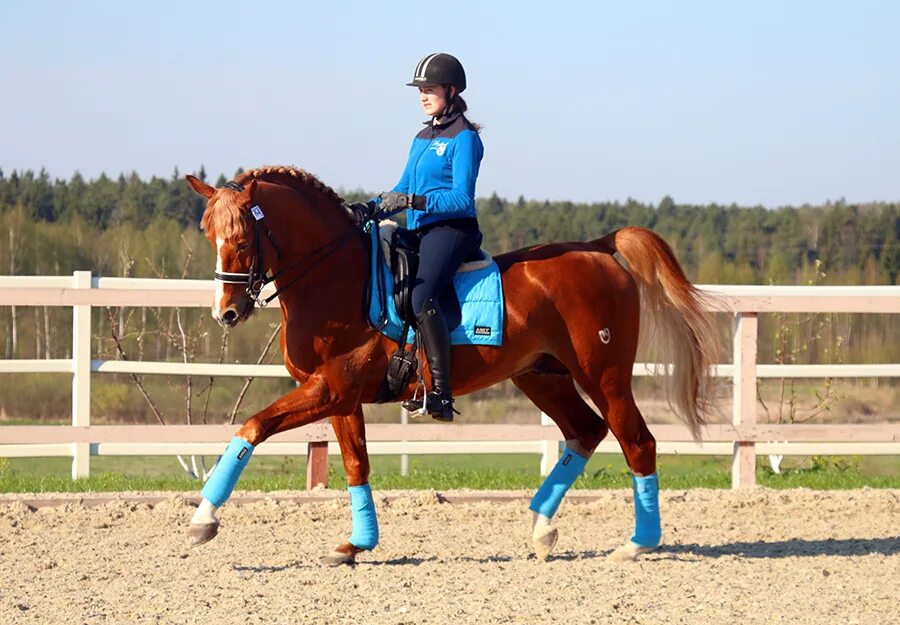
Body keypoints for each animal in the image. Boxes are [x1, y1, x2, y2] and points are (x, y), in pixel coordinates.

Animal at [183, 167, 716, 564]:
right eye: (209, 234)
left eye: (243, 239)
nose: (226, 313)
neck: (337, 277)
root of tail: (598, 248)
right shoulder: (341, 397)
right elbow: (356, 464)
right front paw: (357, 544)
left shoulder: (330, 388)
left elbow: (252, 426)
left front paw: (203, 520)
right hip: (542, 377)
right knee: (584, 432)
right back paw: (542, 528)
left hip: (604, 377)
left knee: (637, 441)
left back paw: (637, 543)